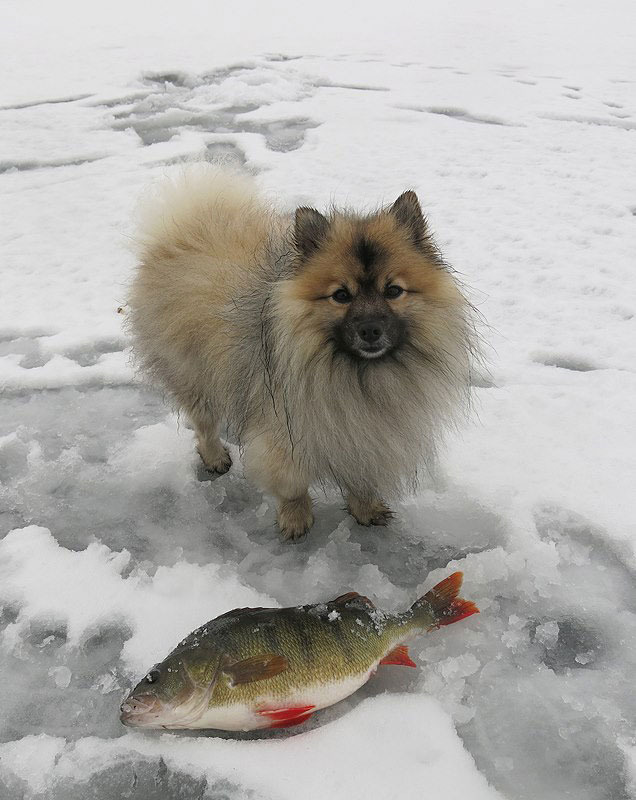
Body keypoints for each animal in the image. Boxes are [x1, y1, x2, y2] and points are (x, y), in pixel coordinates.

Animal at [126, 167, 474, 544]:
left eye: (393, 290)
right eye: (341, 295)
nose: (370, 330)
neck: (359, 374)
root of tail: (180, 231)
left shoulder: (364, 433)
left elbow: (361, 473)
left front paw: (365, 507)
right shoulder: (282, 430)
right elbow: (291, 483)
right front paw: (295, 518)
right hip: (195, 375)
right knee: (204, 424)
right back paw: (215, 456)